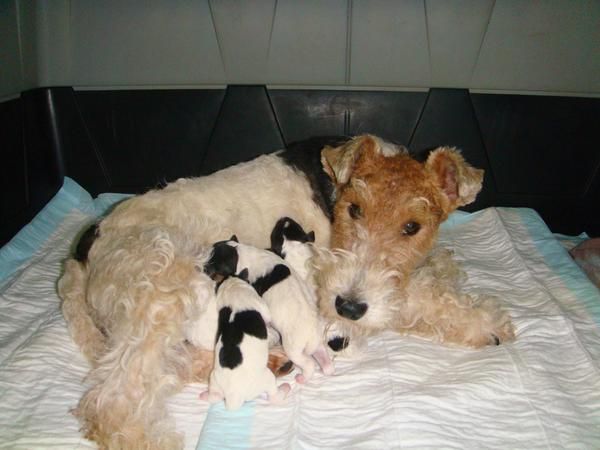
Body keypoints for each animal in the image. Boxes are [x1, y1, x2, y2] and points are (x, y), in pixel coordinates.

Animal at [199, 270, 290, 412]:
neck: (233, 287)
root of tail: (233, 397)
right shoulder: (261, 305)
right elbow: (267, 317)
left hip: (214, 380)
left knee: (215, 397)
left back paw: (204, 395)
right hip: (266, 378)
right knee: (273, 396)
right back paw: (284, 389)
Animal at [205, 236, 336, 384]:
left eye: (212, 261)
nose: (202, 267)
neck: (243, 254)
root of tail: (313, 334)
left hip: (294, 350)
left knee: (308, 364)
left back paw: (302, 377)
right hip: (319, 346)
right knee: (326, 362)